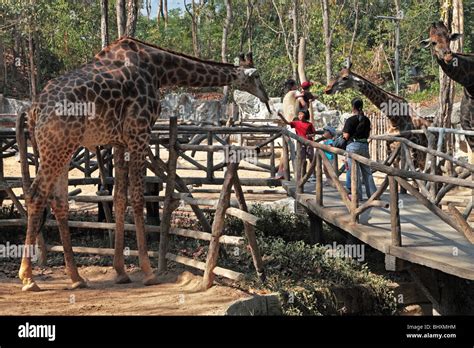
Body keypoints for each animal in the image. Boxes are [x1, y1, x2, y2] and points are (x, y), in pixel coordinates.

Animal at [18, 36, 268, 290]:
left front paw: (120, 272)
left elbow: (119, 198)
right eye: (256, 75)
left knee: (59, 202)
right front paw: (148, 272)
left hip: (63, 148)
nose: (266, 97)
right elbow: (138, 198)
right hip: (57, 147)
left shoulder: (119, 142)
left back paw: (76, 278)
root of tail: (35, 109)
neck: (159, 69)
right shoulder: (140, 133)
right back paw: (28, 278)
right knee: (36, 195)